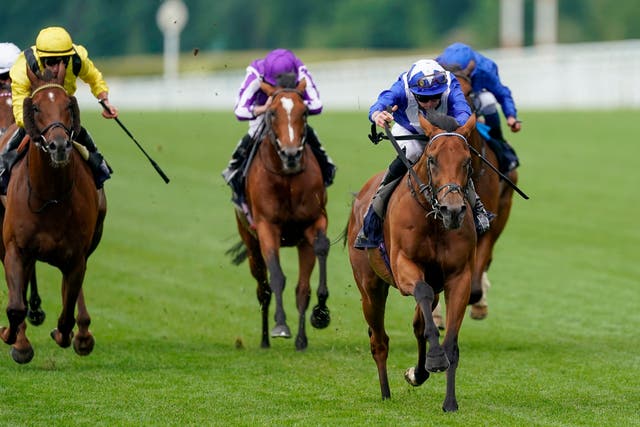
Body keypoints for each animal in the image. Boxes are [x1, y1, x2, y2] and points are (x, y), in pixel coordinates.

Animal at [0, 64, 106, 364]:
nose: (59, 146)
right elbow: (15, 306)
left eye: (68, 105)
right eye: (35, 107)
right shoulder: (15, 248)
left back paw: (82, 335)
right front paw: (14, 339)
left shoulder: (77, 256)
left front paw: (68, 334)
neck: (49, 196)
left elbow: (67, 313)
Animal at [230, 78, 330, 350]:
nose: (291, 153)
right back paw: (265, 339)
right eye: (272, 112)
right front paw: (281, 326)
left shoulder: (313, 223)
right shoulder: (267, 227)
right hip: (251, 243)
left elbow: (308, 278)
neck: (287, 179)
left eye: (304, 112)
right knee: (263, 289)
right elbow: (276, 278)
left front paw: (318, 317)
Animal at [348, 111, 478, 414]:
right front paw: (435, 359)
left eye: (467, 161)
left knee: (420, 325)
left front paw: (449, 401)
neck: (433, 221)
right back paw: (385, 393)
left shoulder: (459, 277)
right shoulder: (403, 265)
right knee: (379, 340)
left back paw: (418, 373)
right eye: (432, 159)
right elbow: (421, 291)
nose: (452, 210)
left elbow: (449, 341)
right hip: (370, 288)